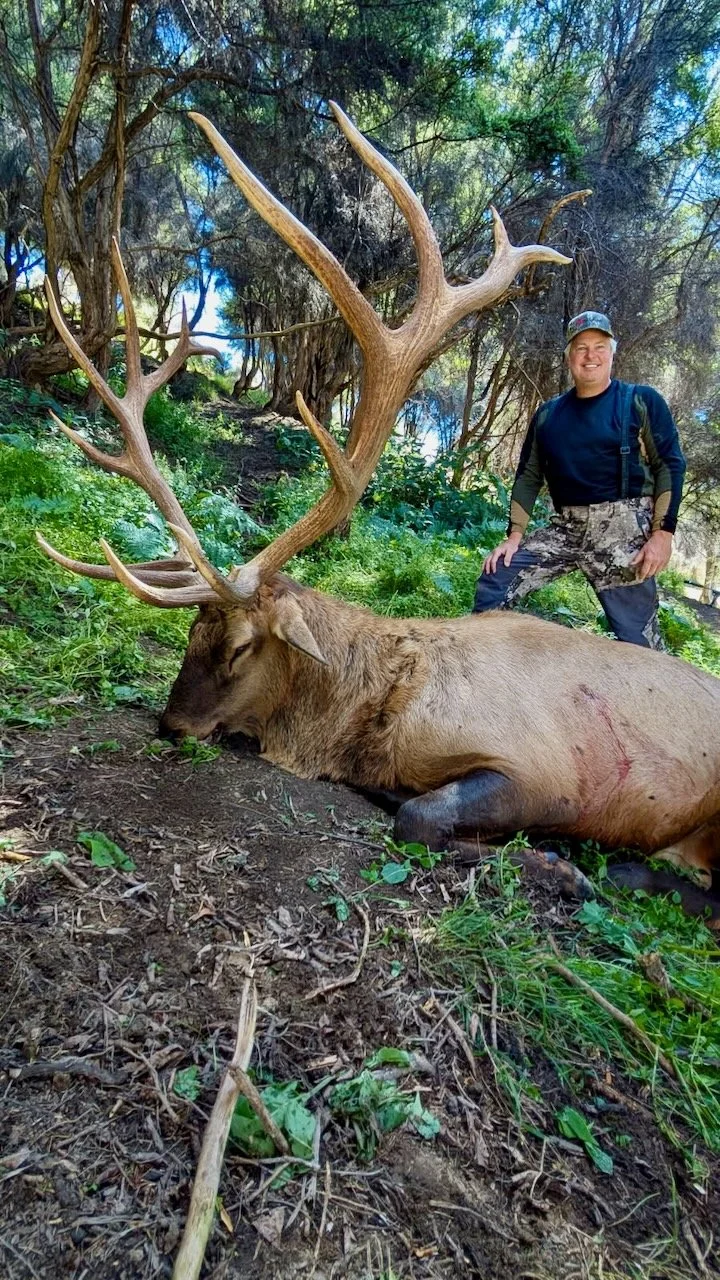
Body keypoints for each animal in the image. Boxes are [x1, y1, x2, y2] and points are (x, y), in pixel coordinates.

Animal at [37, 106, 720, 923]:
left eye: (239, 647)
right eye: (190, 631)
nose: (172, 726)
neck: (370, 718)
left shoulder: (545, 769)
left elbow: (419, 816)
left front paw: (560, 867)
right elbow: (402, 803)